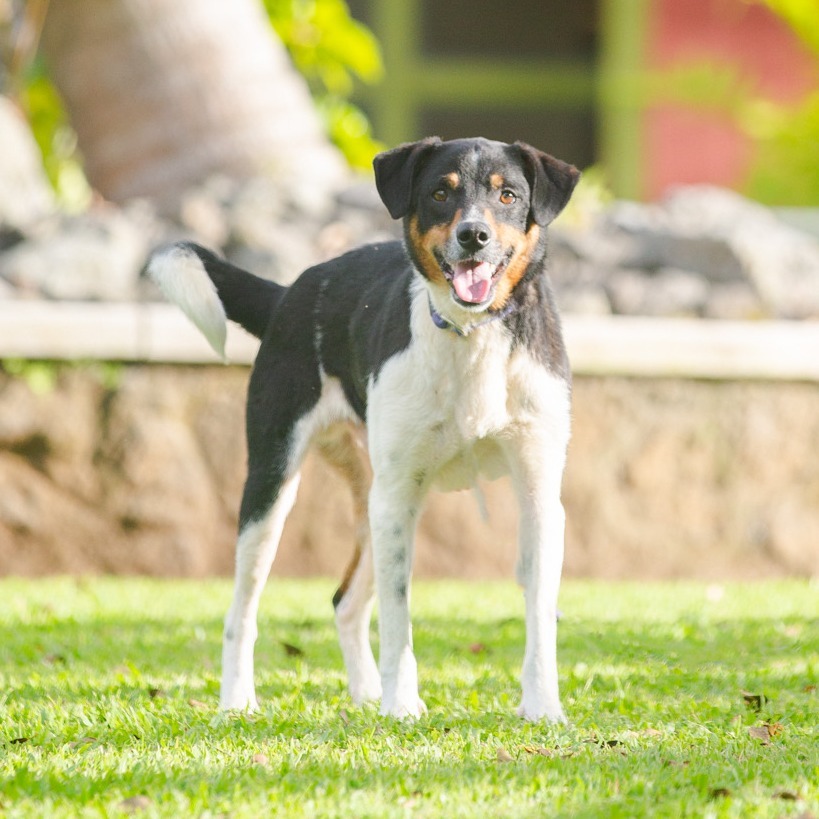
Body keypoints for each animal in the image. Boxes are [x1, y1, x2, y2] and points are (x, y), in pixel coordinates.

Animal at [149, 136, 584, 724]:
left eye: (509, 195)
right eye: (440, 193)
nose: (474, 235)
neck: (471, 336)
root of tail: (289, 292)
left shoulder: (538, 494)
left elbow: (539, 614)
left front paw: (542, 707)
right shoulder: (399, 497)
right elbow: (399, 619)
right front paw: (403, 706)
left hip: (374, 499)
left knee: (345, 603)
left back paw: (366, 692)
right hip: (276, 487)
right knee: (243, 611)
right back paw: (239, 700)